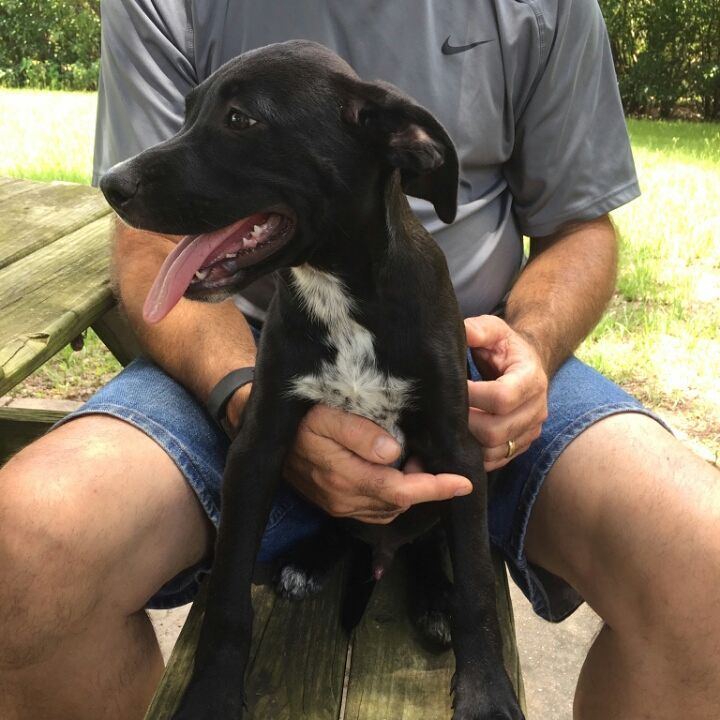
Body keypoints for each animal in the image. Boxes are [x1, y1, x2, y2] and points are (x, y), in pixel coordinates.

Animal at [101, 38, 524, 720]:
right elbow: (227, 597)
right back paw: (311, 558)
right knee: (342, 524)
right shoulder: (258, 444)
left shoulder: (458, 446)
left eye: (240, 119)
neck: (341, 296)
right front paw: (211, 693)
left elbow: (478, 590)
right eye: (188, 111)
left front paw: (485, 690)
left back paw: (432, 597)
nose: (111, 184)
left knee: (426, 541)